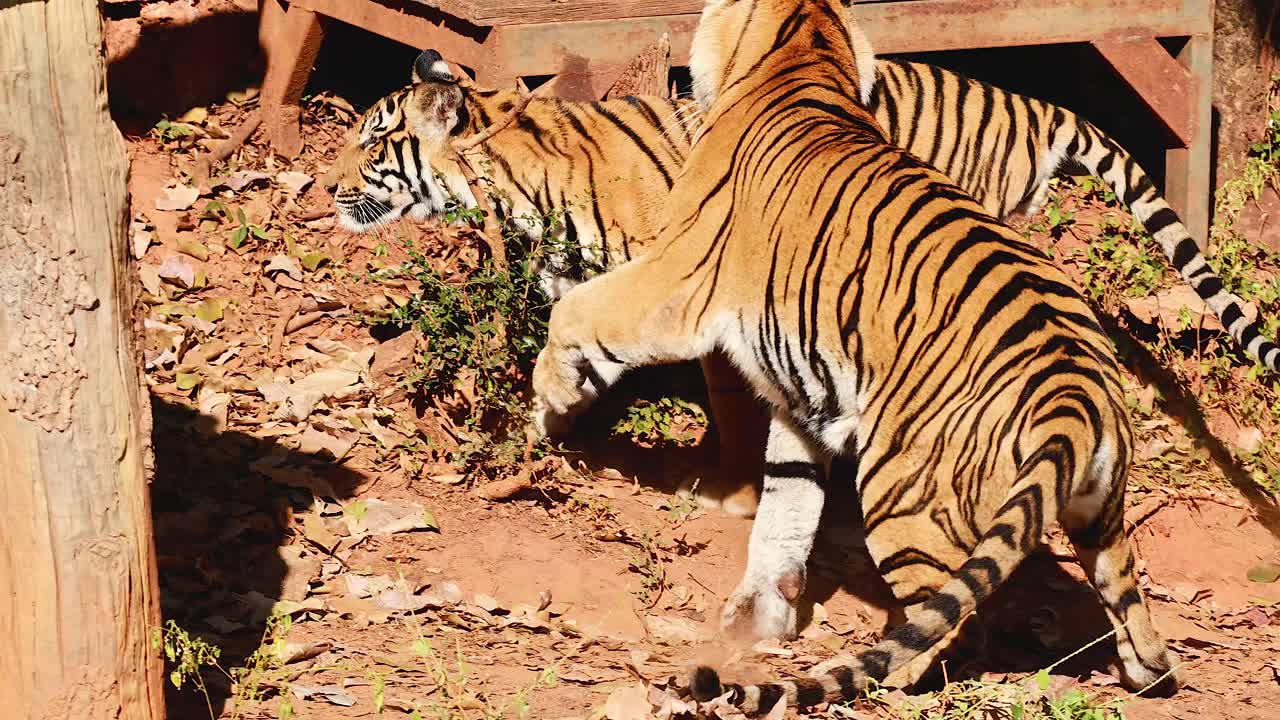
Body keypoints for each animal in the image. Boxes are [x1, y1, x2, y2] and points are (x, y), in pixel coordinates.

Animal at [331, 45, 1280, 523]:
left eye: (375, 139)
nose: (325, 184)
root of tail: (1037, 106)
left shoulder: (694, 290)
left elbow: (717, 391)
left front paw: (724, 482)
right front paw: (545, 429)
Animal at [526, 0, 1178, 713]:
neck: (804, 54)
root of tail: (1074, 388)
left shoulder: (676, 276)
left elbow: (575, 310)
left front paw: (552, 399)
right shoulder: (801, 397)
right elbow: (787, 501)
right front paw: (760, 614)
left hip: (903, 499)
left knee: (954, 627)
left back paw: (883, 677)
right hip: (1101, 516)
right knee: (1130, 607)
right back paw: (1149, 675)